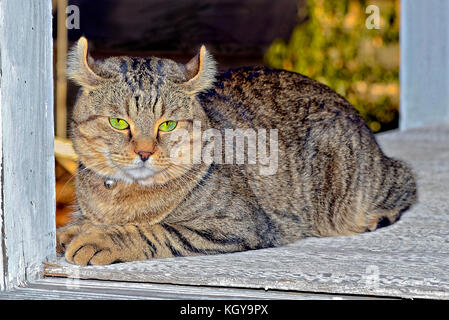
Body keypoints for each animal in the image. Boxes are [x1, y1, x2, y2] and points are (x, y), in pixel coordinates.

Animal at [56, 37, 416, 264]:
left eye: (167, 125)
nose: (144, 153)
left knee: (406, 180)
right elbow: (77, 223)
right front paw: (71, 232)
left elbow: (156, 231)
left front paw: (100, 239)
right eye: (119, 122)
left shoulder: (239, 224)